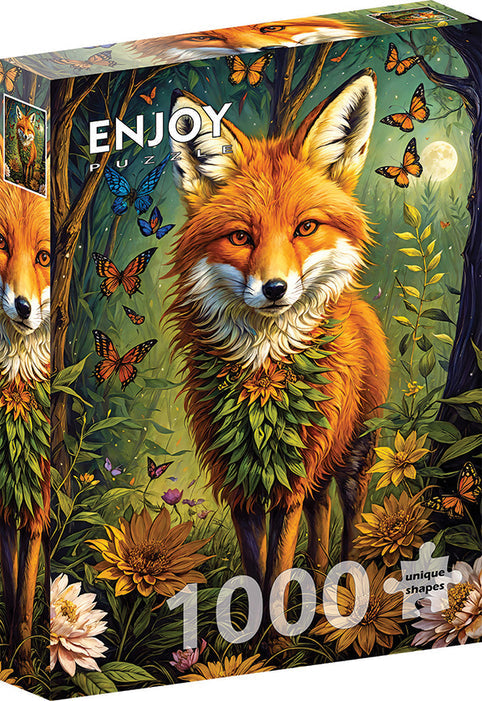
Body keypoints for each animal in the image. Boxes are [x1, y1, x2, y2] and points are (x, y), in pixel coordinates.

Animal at [167, 69, 389, 607]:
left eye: (305, 227)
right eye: (240, 237)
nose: (274, 289)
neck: (263, 383)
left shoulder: (290, 478)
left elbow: (277, 576)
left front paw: (277, 628)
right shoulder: (241, 482)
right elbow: (257, 574)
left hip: (353, 457)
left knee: (348, 520)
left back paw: (346, 590)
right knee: (320, 516)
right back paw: (319, 589)